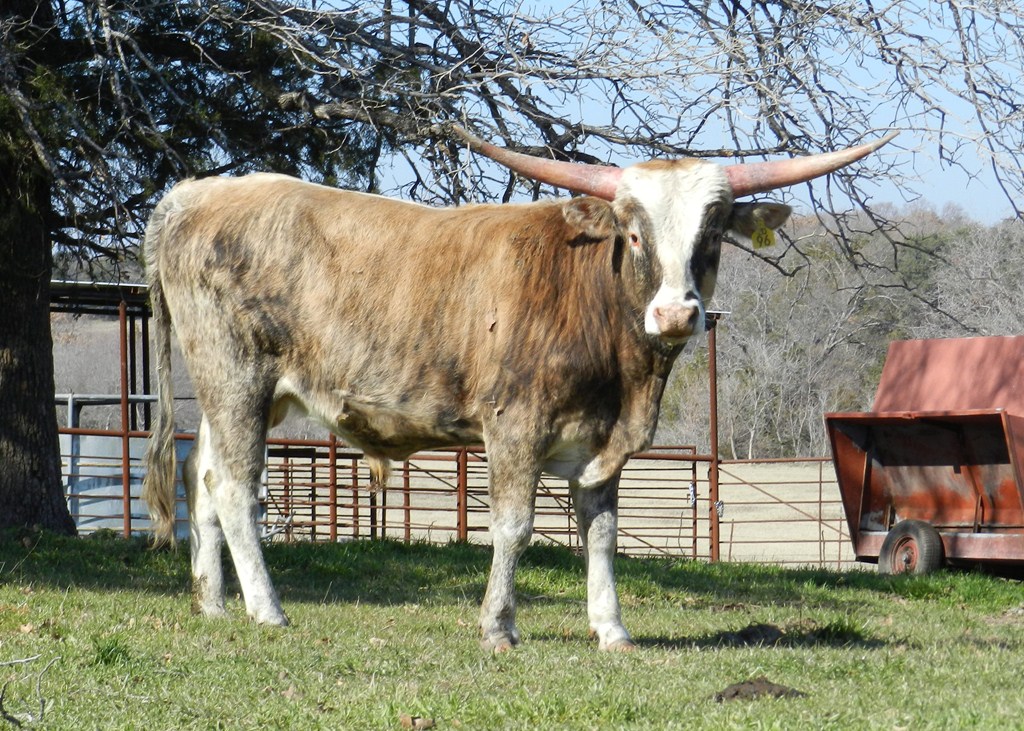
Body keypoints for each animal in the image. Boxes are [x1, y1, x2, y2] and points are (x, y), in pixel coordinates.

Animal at [142, 125, 895, 651]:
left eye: (713, 233)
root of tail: (196, 192)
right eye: (634, 232)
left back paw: (213, 602)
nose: (677, 314)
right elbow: (513, 526)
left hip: (241, 393)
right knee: (236, 487)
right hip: (237, 375)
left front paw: (611, 629)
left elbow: (602, 532)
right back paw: (267, 609)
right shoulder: (515, 428)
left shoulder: (604, 444)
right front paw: (498, 626)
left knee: (200, 472)